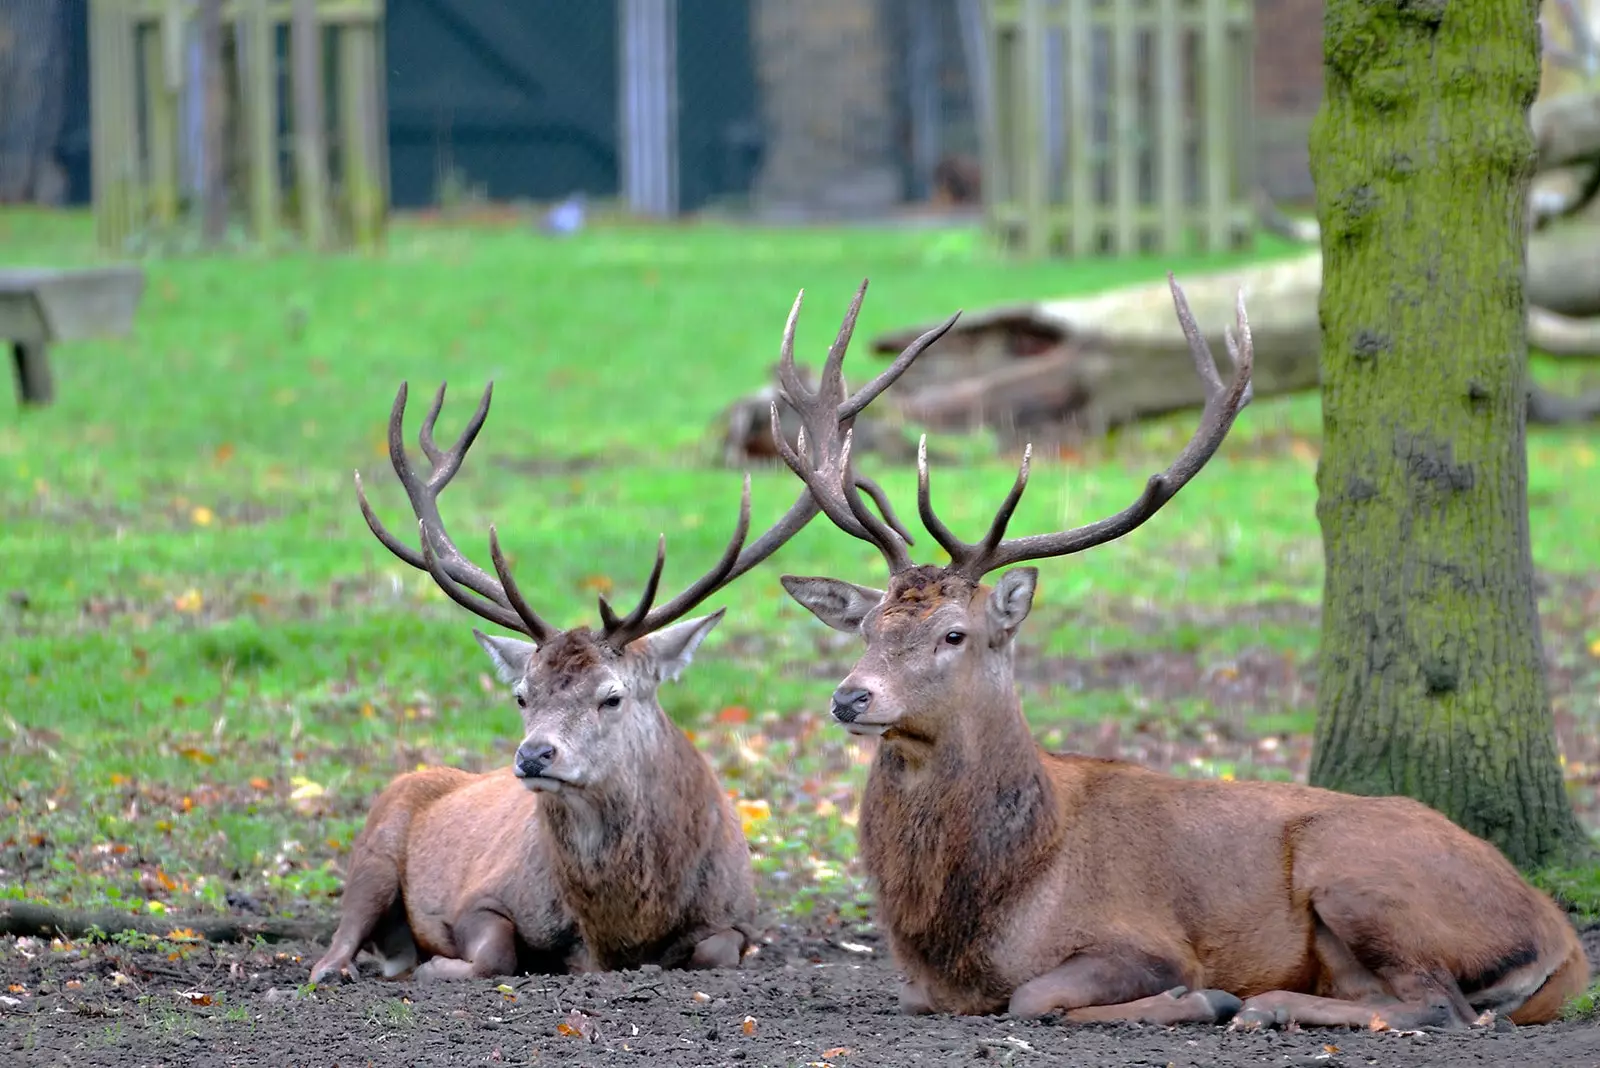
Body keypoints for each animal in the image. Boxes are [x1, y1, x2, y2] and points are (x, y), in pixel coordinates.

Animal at [312, 281, 960, 984]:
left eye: (612, 695)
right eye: (522, 695)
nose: (534, 756)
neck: (621, 928)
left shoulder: (738, 922)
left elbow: (710, 950)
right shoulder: (481, 898)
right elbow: (496, 952)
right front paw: (442, 965)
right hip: (375, 841)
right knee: (337, 942)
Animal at [771, 279, 1587, 1029]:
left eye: (953, 633)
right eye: (868, 628)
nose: (850, 697)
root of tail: (1562, 938)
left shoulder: (1143, 937)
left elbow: (1035, 997)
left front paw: (1201, 997)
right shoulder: (920, 986)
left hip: (1358, 873)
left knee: (1439, 1005)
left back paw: (1262, 1005)